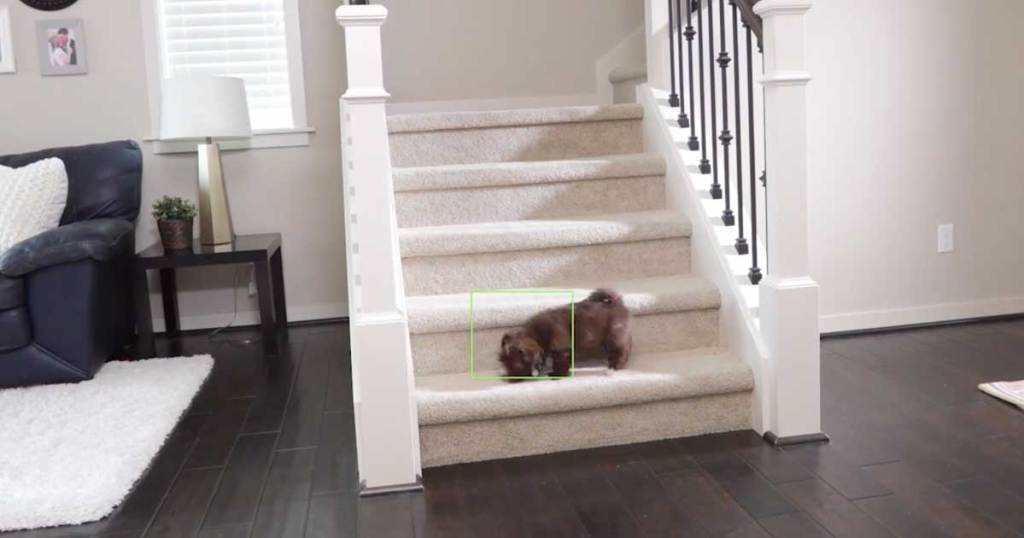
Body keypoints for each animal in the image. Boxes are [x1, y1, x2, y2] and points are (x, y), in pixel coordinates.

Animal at [497, 288, 630, 377]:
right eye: (502, 361)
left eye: (517, 365)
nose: (507, 378)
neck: (537, 334)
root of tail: (615, 302)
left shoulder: (561, 349)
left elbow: (560, 363)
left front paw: (557, 375)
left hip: (614, 337)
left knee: (620, 352)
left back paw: (612, 368)